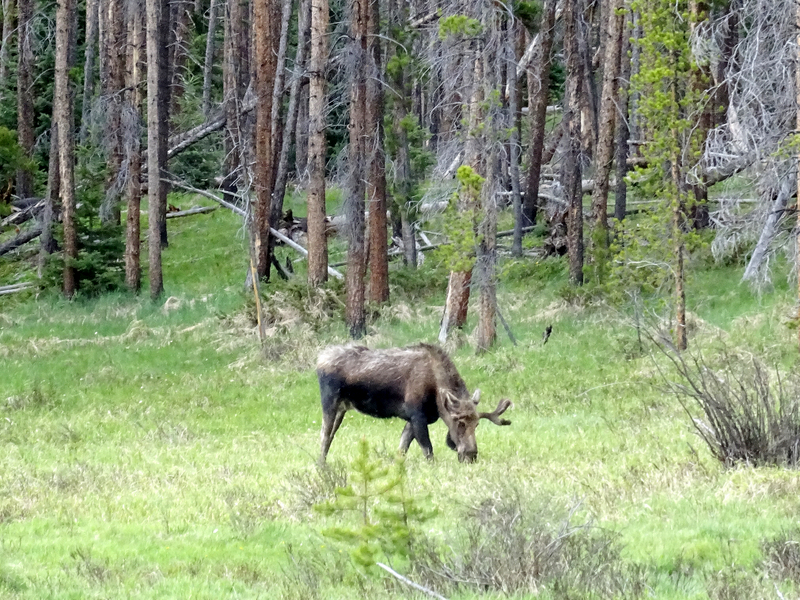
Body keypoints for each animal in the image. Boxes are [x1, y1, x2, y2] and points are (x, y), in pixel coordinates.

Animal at [316, 342, 510, 464]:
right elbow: (428, 450)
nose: (471, 455)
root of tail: (318, 361)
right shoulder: (417, 415)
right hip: (330, 401)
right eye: (460, 423)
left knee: (330, 436)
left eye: (477, 424)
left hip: (342, 408)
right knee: (324, 436)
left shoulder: (412, 419)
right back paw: (321, 467)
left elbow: (401, 449)